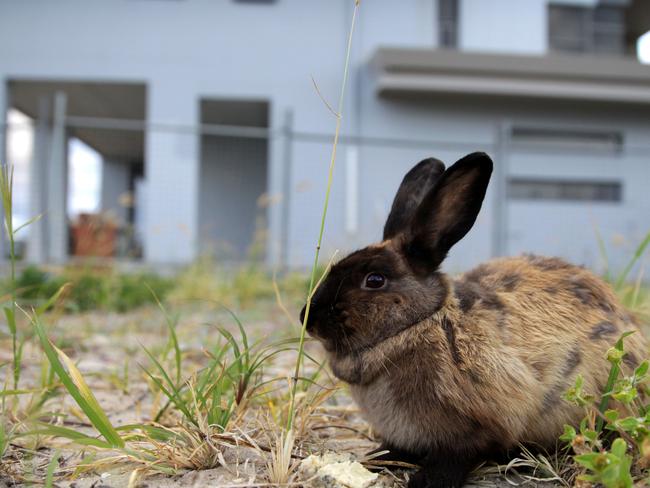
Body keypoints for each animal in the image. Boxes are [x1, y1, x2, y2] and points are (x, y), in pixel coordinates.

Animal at [302, 152, 644, 488]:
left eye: (375, 280)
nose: (308, 317)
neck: (421, 323)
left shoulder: (476, 424)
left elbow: (456, 455)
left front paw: (427, 482)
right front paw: (373, 459)